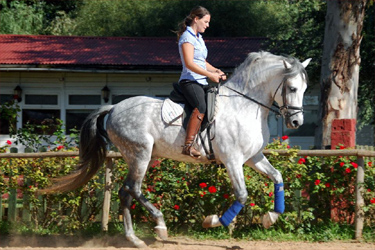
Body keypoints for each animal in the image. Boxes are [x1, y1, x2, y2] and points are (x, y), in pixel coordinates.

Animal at [45, 51, 312, 248]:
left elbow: (278, 177)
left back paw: (135, 239)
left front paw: (270, 217)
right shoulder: (233, 160)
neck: (245, 105)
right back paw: (160, 225)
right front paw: (213, 221)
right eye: (291, 88)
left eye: (304, 89)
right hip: (140, 154)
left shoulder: (253, 157)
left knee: (125, 191)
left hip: (140, 157)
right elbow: (242, 195)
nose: (296, 122)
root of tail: (112, 109)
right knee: (134, 188)